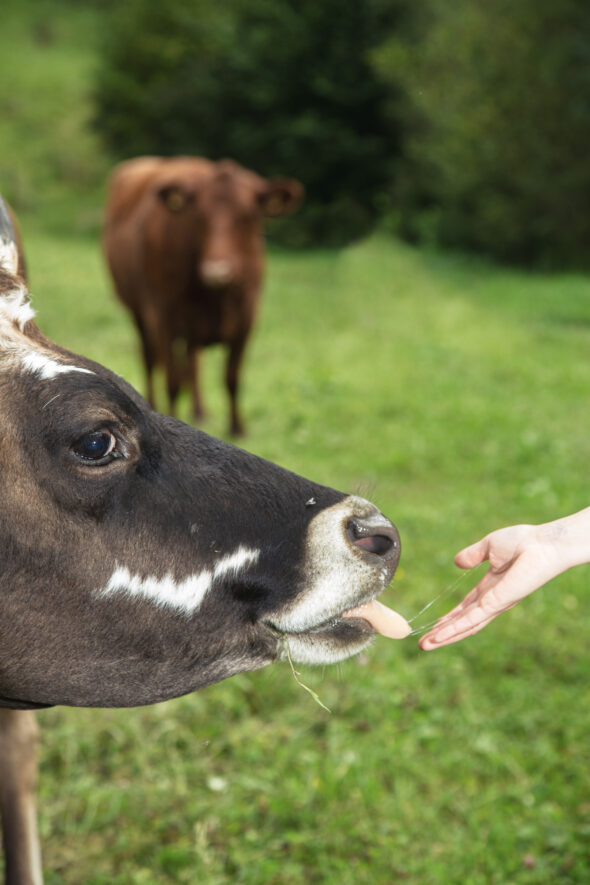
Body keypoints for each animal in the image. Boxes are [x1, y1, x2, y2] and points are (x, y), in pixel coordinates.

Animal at [102, 161, 302, 436]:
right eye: (199, 216)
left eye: (248, 217)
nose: (217, 270)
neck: (216, 299)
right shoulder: (164, 318)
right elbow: (173, 380)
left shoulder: (246, 320)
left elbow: (232, 377)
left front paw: (237, 427)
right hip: (139, 314)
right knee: (151, 360)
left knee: (193, 363)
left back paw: (200, 412)